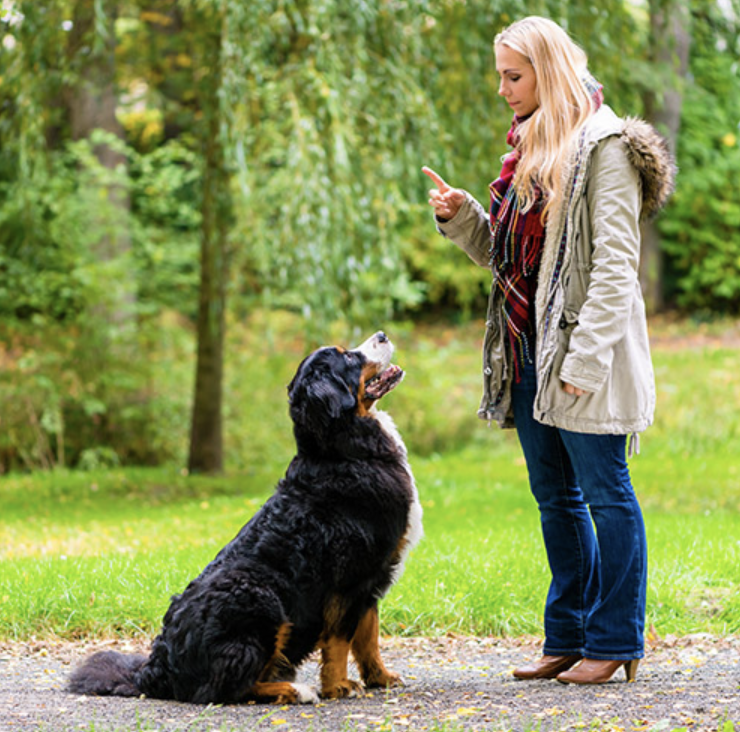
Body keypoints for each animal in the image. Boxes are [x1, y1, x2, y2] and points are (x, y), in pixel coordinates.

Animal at [68, 332, 422, 704]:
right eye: (349, 358)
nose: (382, 335)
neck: (343, 451)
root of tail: (156, 669)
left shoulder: (372, 578)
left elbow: (368, 637)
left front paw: (380, 678)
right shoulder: (351, 578)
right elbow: (340, 640)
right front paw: (338, 686)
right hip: (259, 595)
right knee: (227, 688)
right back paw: (296, 690)